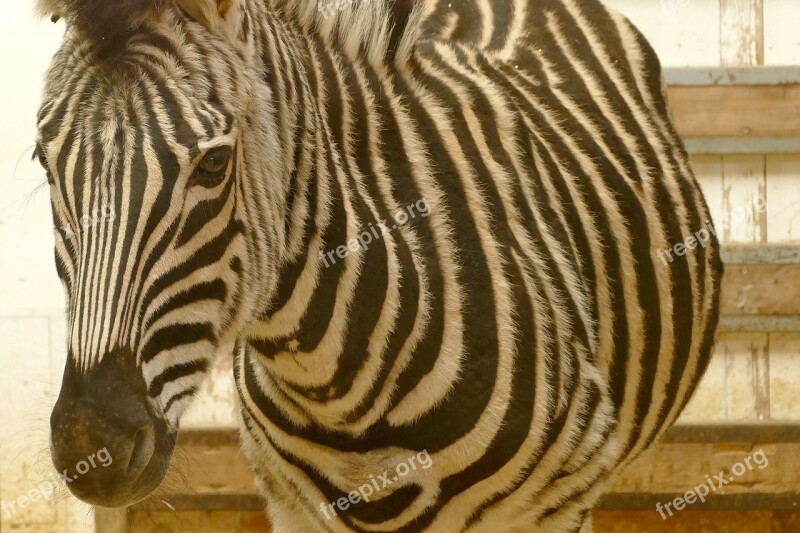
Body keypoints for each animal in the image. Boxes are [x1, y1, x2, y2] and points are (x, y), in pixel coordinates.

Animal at [32, 0, 724, 528]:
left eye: (213, 164)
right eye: (44, 160)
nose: (91, 447)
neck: (340, 394)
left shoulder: (551, 507)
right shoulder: (292, 506)